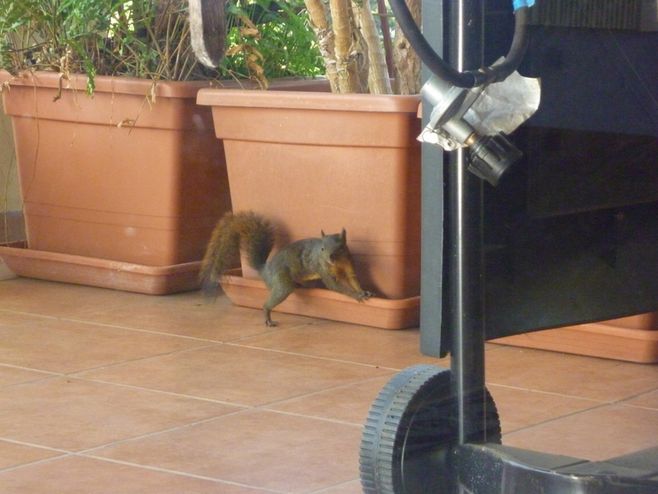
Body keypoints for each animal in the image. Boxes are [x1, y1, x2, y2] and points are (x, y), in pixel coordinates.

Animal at [200, 211, 373, 326]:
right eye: (322, 249)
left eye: (342, 247)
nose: (330, 258)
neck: (337, 265)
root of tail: (266, 270)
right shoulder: (323, 269)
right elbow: (336, 286)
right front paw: (355, 295)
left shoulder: (348, 266)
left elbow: (353, 280)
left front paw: (363, 291)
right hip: (282, 282)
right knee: (273, 299)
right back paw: (267, 316)